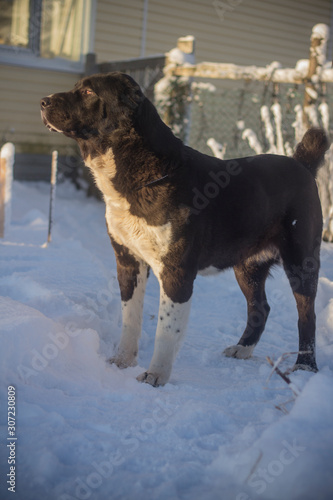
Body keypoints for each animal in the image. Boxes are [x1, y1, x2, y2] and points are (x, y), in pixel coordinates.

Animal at [40, 72, 326, 386]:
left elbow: (166, 329)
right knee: (260, 307)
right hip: (247, 266)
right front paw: (123, 361)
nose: (43, 101)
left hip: (301, 260)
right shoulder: (128, 260)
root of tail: (302, 164)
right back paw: (242, 349)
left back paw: (305, 367)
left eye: (90, 92)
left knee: (307, 314)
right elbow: (131, 318)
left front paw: (155, 376)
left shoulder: (176, 271)